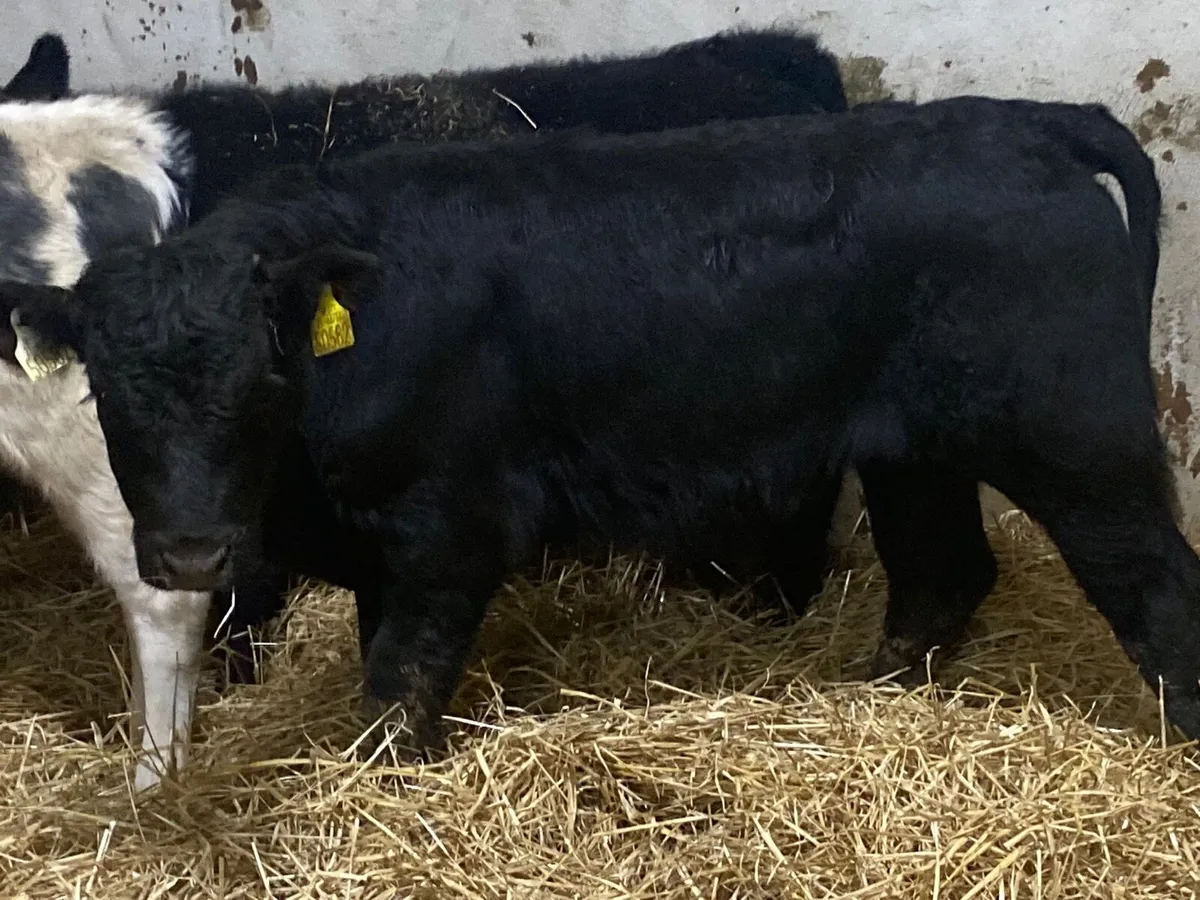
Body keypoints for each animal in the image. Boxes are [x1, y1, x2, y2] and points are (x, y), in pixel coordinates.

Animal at [20, 95, 1197, 764]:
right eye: (107, 392)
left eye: (264, 378)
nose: (189, 554)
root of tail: (1020, 121)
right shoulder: (381, 551)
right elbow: (390, 676)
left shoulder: (452, 530)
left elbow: (402, 683)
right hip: (915, 449)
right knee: (943, 571)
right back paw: (876, 697)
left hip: (1077, 433)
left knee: (1154, 583)